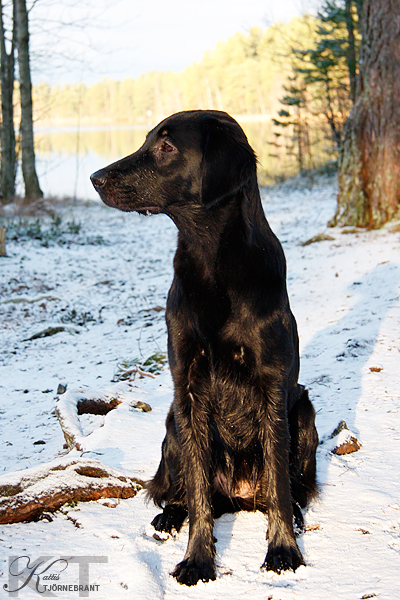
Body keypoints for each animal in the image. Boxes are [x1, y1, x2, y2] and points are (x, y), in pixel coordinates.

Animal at [91, 109, 318, 584]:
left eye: (166, 146)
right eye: (146, 140)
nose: (94, 178)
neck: (212, 261)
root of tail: (239, 496)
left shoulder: (273, 385)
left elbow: (279, 479)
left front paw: (282, 549)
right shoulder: (188, 386)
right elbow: (197, 488)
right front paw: (198, 558)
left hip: (304, 409)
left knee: (290, 487)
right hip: (172, 424)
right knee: (182, 490)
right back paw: (169, 516)